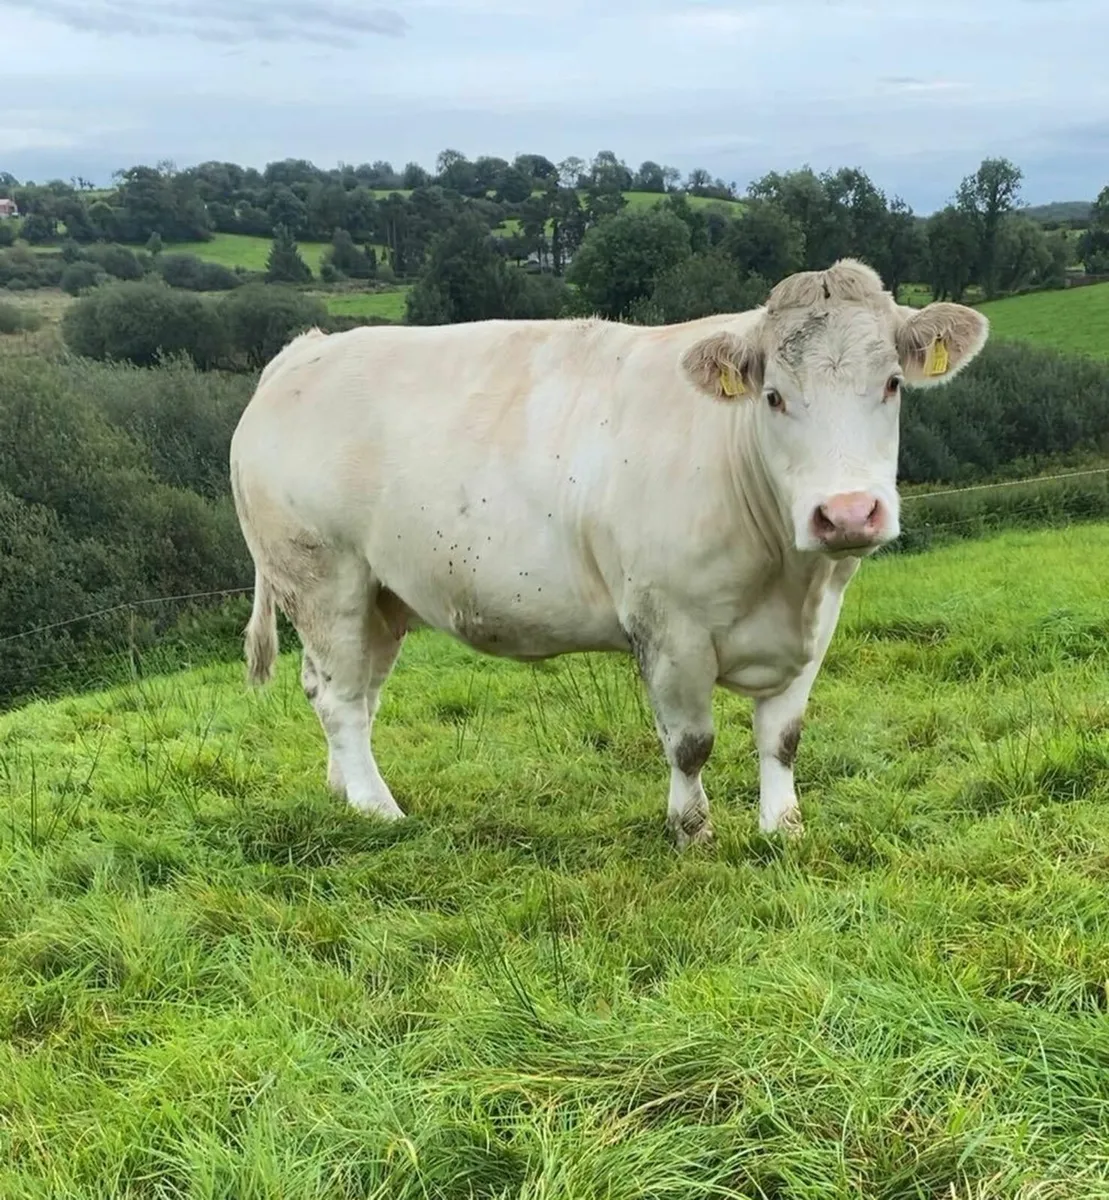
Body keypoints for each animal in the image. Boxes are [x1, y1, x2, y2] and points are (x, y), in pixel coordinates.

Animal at [229, 259, 988, 848]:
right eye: (773, 396)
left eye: (891, 384)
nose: (847, 513)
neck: (786, 579)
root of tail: (304, 351)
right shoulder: (669, 625)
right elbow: (691, 741)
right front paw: (692, 831)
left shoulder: (815, 625)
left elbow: (783, 736)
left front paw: (783, 829)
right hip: (322, 576)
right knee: (340, 698)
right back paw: (378, 809)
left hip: (381, 597)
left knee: (350, 691)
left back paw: (343, 793)